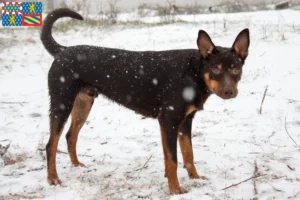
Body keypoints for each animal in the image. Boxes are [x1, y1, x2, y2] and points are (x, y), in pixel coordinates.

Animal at [41, 8, 250, 195]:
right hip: (62, 104)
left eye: (235, 69)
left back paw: (77, 166)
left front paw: (195, 178)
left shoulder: (185, 122)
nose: (229, 92)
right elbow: (173, 159)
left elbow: (188, 154)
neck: (193, 72)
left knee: (70, 136)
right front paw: (175, 189)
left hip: (83, 104)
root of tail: (63, 51)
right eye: (215, 68)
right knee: (51, 144)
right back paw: (53, 179)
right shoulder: (169, 120)